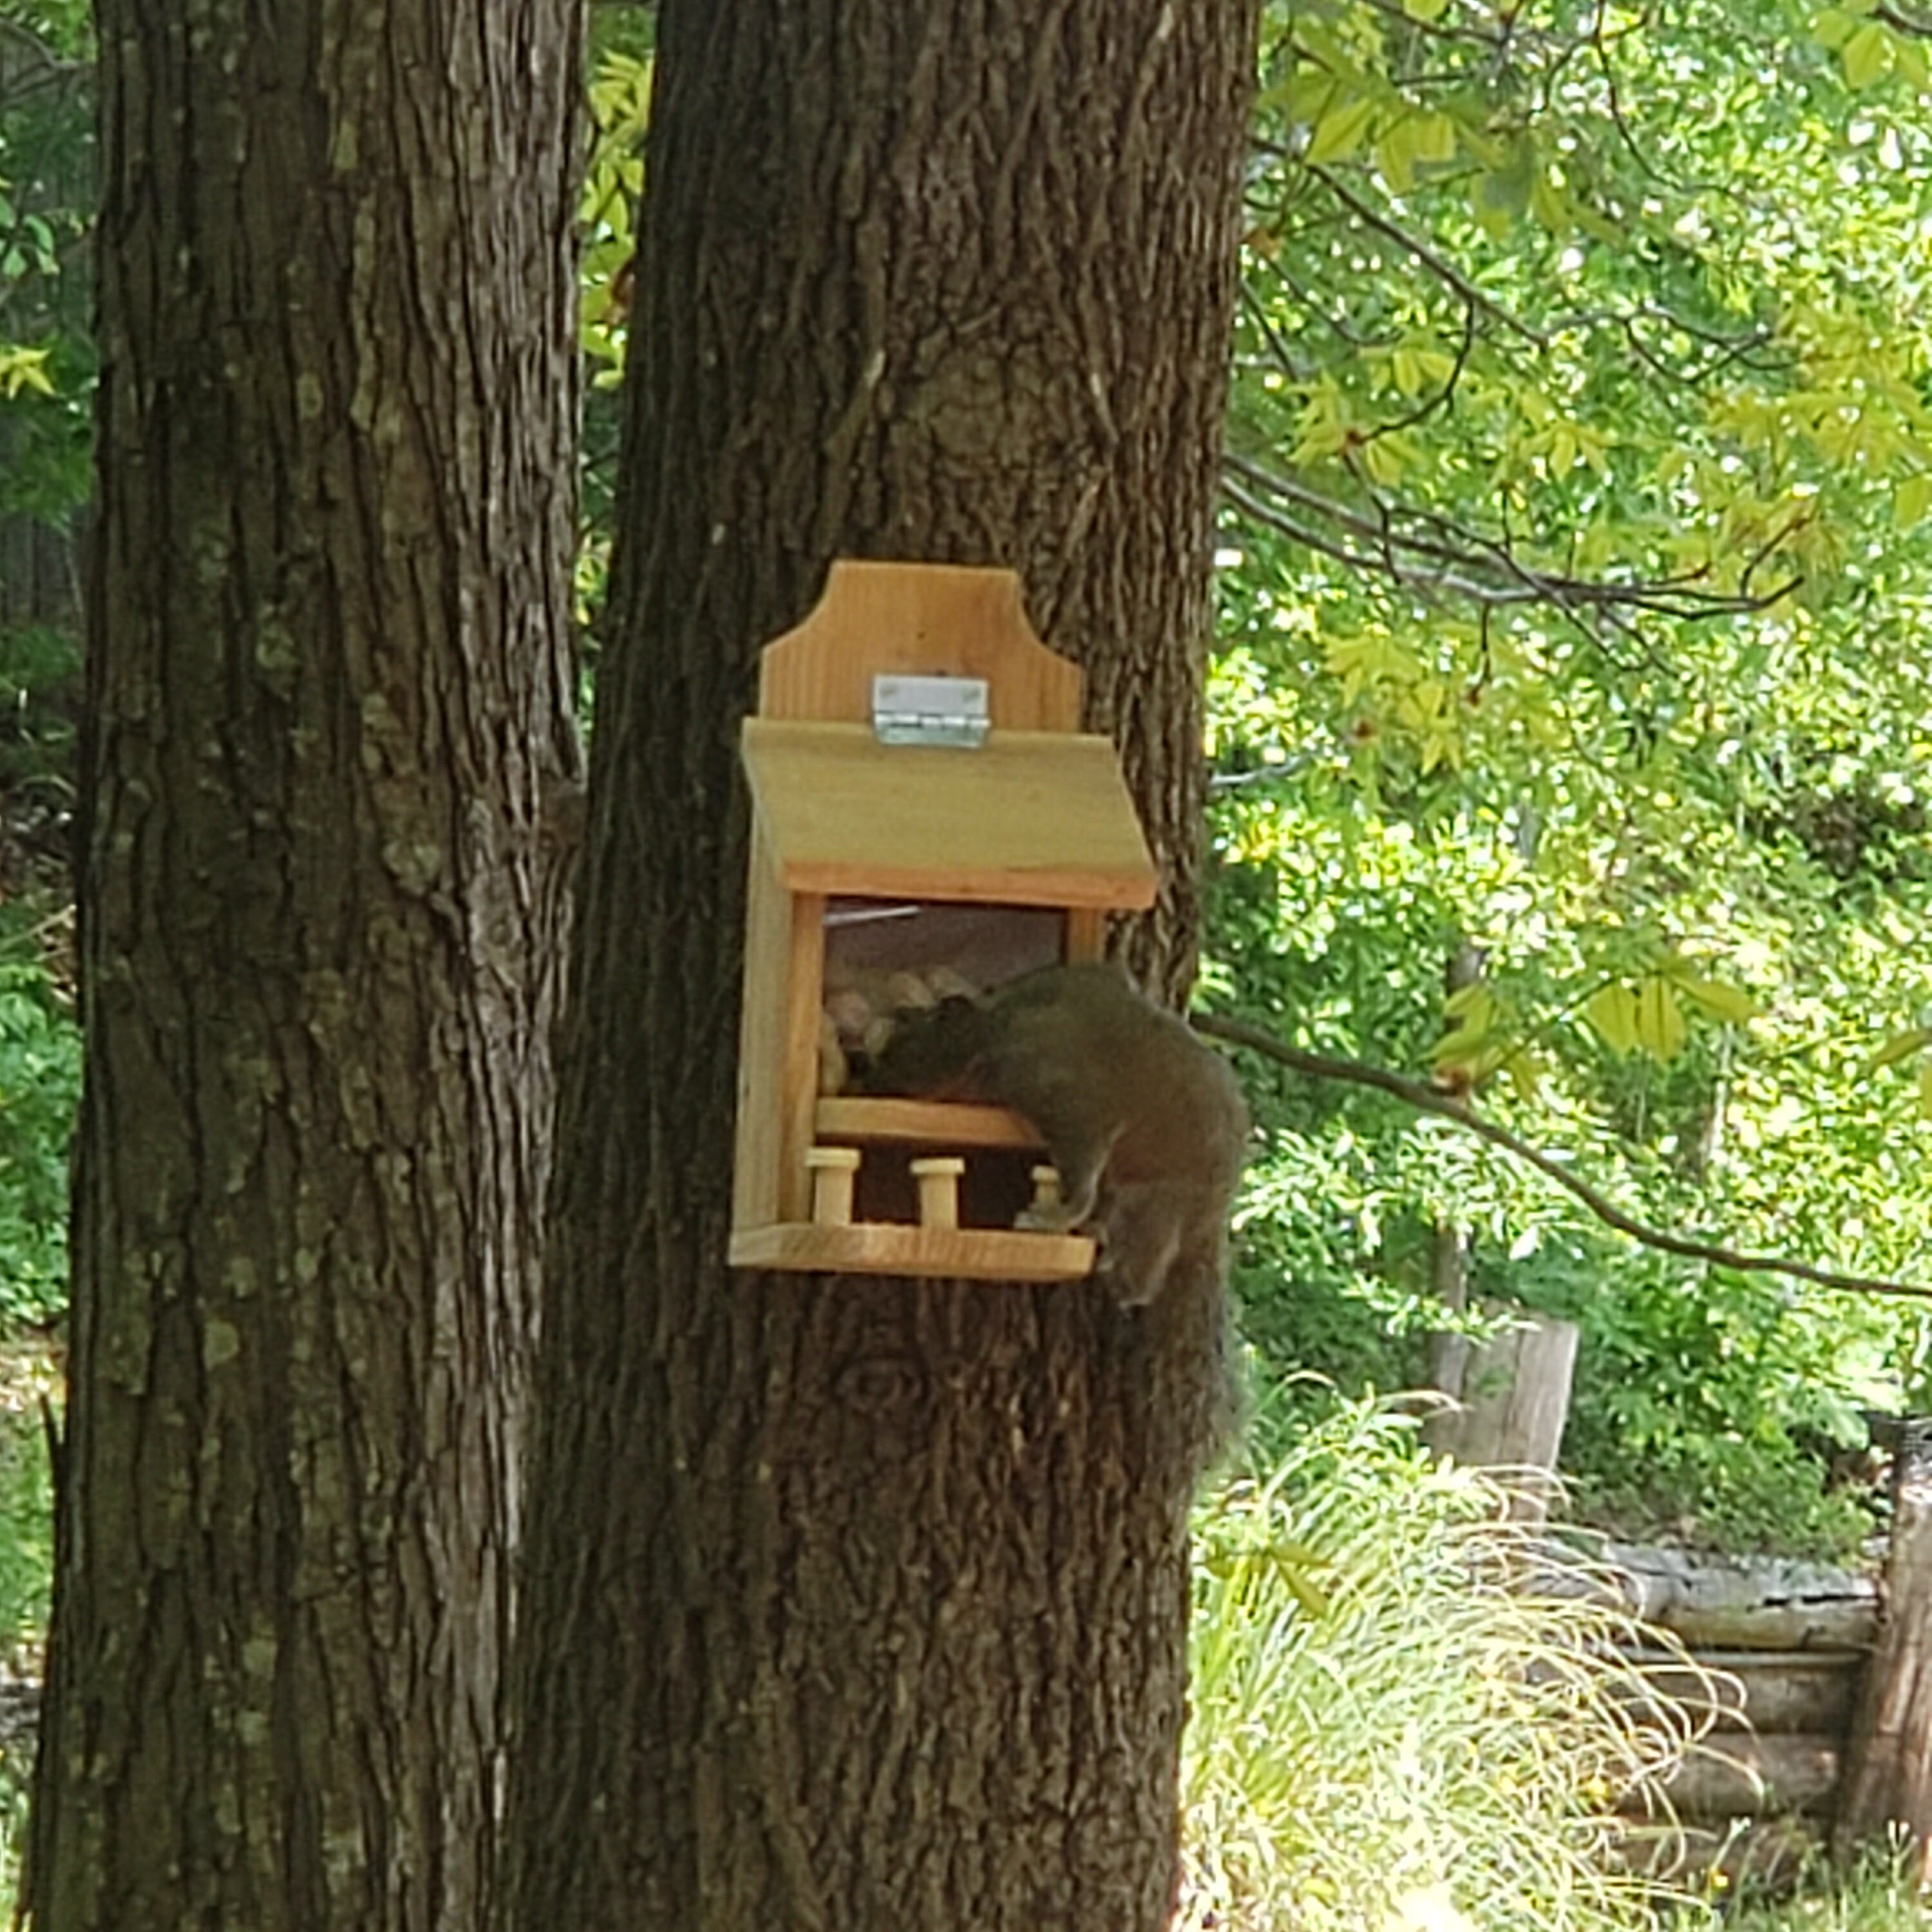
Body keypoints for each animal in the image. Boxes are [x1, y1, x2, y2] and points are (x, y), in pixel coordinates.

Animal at [859, 962, 1250, 1308]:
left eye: (901, 1044)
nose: (865, 1078)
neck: (994, 1030)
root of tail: (1213, 1215)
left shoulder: (1055, 1089)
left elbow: (1082, 1171)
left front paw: (1055, 1216)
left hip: (1159, 1201)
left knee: (1141, 1265)